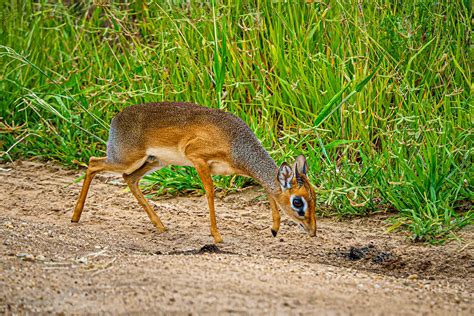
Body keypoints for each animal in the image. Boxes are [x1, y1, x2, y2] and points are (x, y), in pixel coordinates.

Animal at [72, 102, 316, 243]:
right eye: (298, 202)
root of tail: (116, 119)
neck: (235, 143)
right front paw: (217, 236)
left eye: (314, 197)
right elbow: (210, 193)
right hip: (124, 159)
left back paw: (160, 225)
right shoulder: (198, 159)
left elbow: (268, 189)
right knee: (93, 163)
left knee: (128, 179)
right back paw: (75, 217)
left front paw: (274, 229)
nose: (313, 230)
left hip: (153, 161)